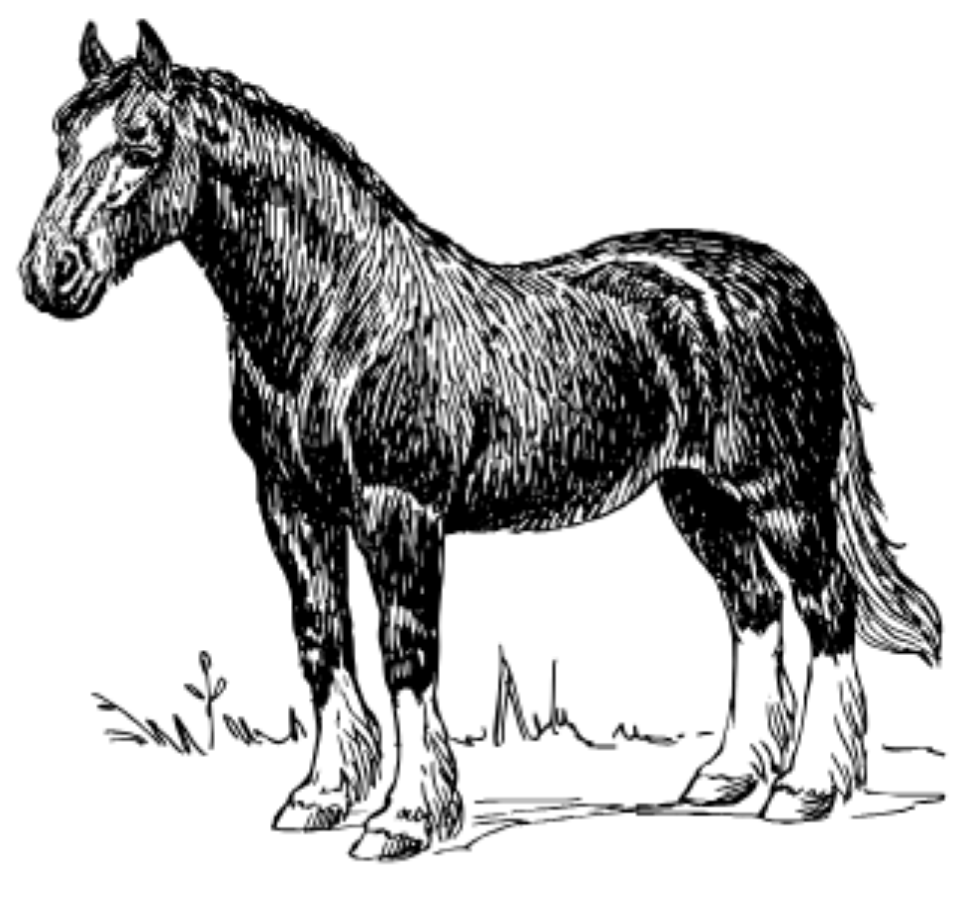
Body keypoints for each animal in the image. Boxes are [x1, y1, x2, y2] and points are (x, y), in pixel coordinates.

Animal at [19, 21, 941, 861]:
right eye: (65, 135)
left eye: (142, 141)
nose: (48, 273)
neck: (339, 318)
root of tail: (793, 285)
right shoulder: (292, 506)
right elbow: (321, 638)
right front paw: (322, 796)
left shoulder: (399, 512)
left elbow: (406, 653)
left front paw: (403, 819)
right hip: (699, 497)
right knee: (751, 609)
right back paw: (727, 775)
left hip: (781, 495)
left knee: (826, 610)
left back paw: (807, 788)